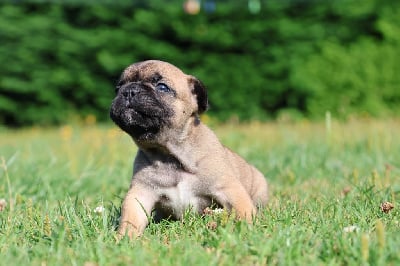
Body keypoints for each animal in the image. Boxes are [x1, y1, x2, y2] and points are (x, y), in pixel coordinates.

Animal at [108, 59, 268, 237]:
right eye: (118, 88)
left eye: (162, 87)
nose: (129, 91)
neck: (169, 155)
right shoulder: (141, 192)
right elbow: (131, 219)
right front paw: (124, 238)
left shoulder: (230, 189)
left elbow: (244, 211)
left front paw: (247, 231)